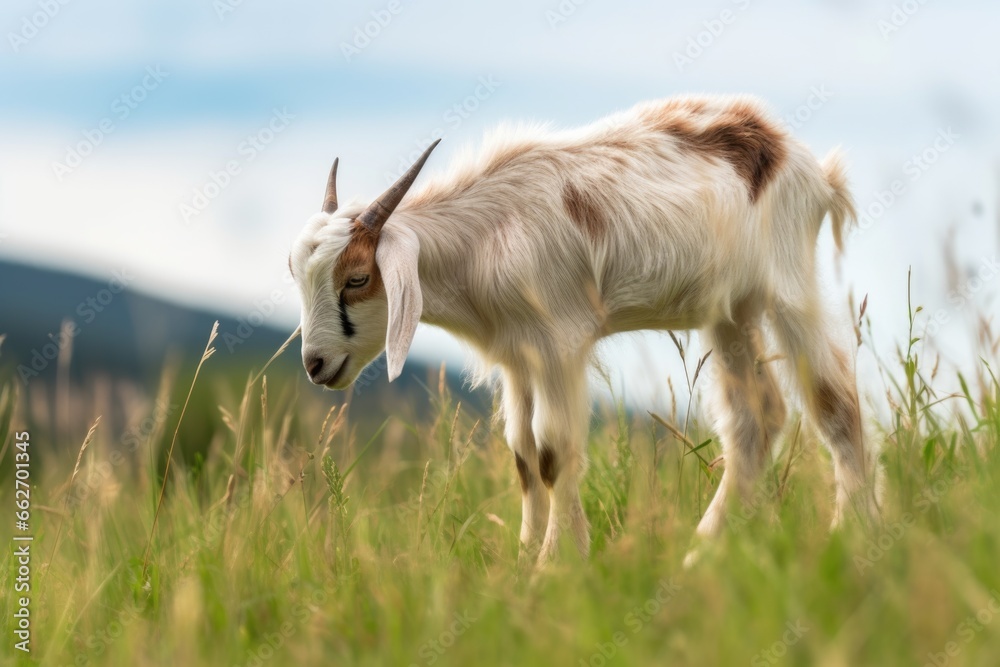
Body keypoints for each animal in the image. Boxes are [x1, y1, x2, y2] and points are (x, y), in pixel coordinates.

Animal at [289, 94, 881, 565]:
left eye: (358, 278)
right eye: (296, 274)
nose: (314, 364)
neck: (487, 233)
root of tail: (804, 161)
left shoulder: (558, 345)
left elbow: (553, 452)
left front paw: (556, 565)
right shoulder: (519, 356)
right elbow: (523, 455)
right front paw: (523, 562)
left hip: (787, 285)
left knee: (835, 400)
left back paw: (850, 536)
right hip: (729, 310)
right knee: (755, 417)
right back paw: (700, 554)